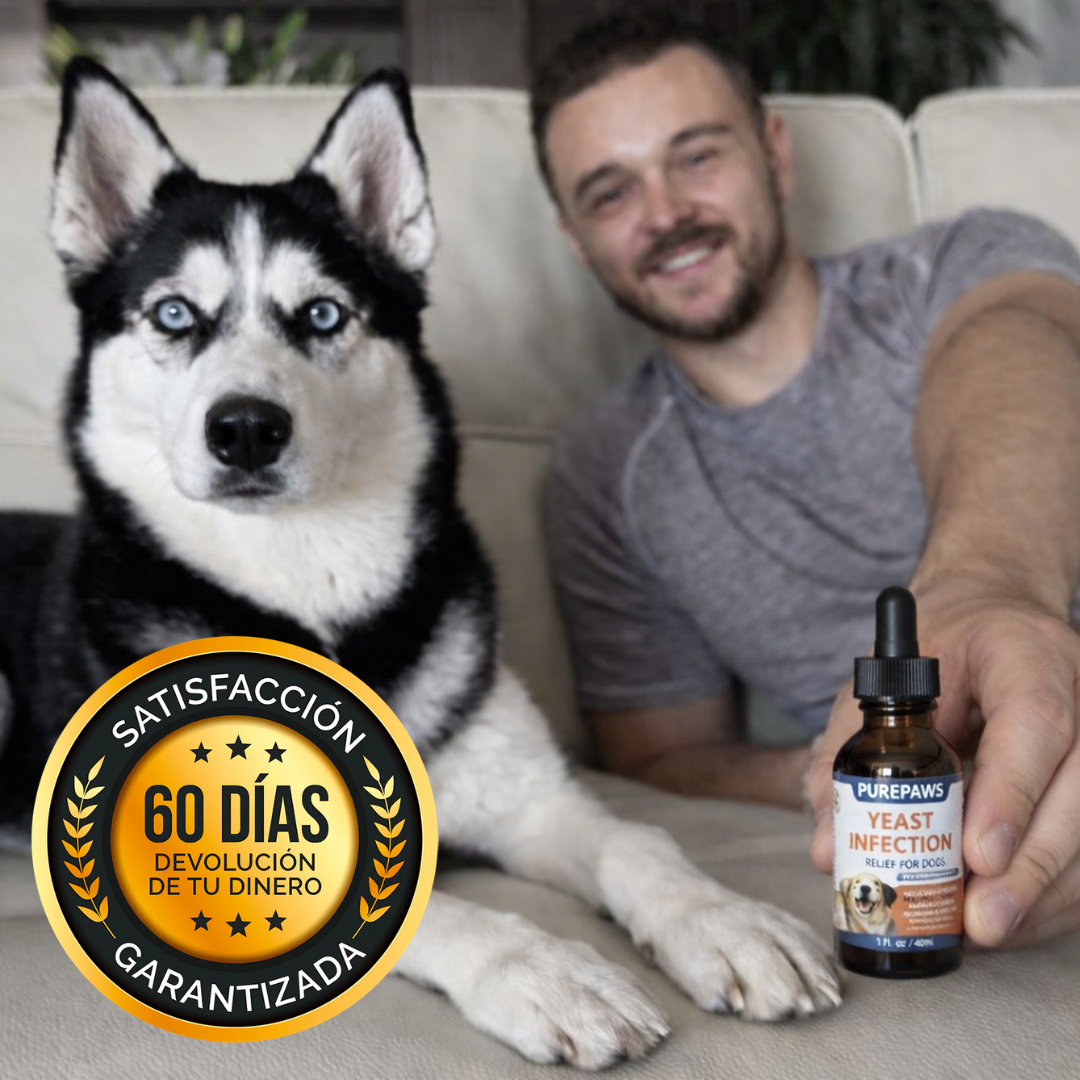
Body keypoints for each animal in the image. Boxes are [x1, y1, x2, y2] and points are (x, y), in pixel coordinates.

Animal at [0, 59, 840, 1067]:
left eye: (323, 314)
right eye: (173, 314)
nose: (245, 429)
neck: (307, 583)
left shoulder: (529, 795)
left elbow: (641, 842)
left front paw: (725, 921)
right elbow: (423, 912)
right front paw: (546, 971)